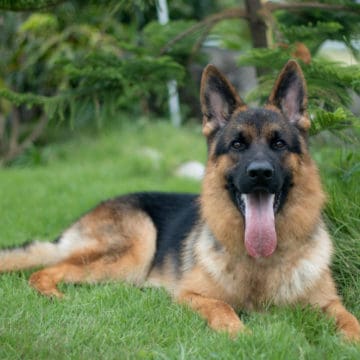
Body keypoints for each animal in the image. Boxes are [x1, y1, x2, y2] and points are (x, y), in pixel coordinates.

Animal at [0, 61, 360, 340]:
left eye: (279, 143)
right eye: (238, 144)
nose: (260, 173)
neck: (261, 265)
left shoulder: (329, 304)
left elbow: (350, 319)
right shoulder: (191, 294)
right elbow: (222, 307)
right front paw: (240, 335)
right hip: (136, 248)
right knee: (45, 270)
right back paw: (51, 293)